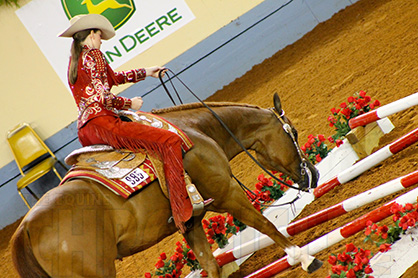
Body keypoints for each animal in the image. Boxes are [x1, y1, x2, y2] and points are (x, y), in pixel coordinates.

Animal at [12, 94, 320, 276]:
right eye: (293, 132)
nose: (314, 175)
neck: (196, 132)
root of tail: (25, 230)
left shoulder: (192, 222)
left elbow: (210, 264)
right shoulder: (228, 195)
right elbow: (266, 226)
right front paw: (303, 257)